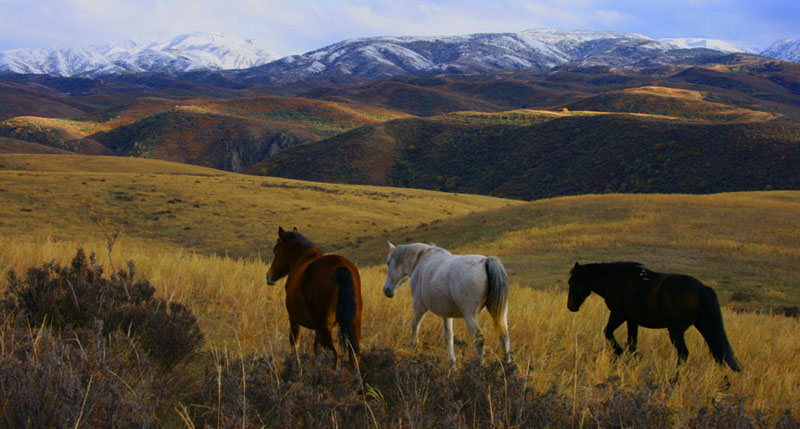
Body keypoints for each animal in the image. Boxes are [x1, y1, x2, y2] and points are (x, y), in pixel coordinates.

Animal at [268, 227, 364, 364]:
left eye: (276, 250)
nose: (269, 276)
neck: (300, 261)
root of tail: (340, 266)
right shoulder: (318, 328)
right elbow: (317, 349)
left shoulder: (293, 318)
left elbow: (294, 342)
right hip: (353, 322)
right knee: (354, 354)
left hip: (325, 326)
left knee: (333, 355)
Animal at [382, 241, 512, 364]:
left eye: (388, 262)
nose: (386, 290)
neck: (420, 259)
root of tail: (486, 261)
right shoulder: (446, 314)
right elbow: (449, 336)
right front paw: (452, 363)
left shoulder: (419, 306)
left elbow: (415, 325)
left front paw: (412, 347)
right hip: (499, 313)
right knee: (504, 338)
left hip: (470, 315)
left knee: (479, 341)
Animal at [564, 260, 740, 372]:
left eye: (572, 281)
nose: (570, 306)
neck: (617, 279)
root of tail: (702, 288)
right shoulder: (632, 320)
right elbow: (632, 343)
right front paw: (633, 360)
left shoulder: (618, 315)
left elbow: (608, 333)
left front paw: (621, 354)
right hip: (704, 326)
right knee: (718, 354)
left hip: (676, 331)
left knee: (684, 354)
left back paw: (675, 380)